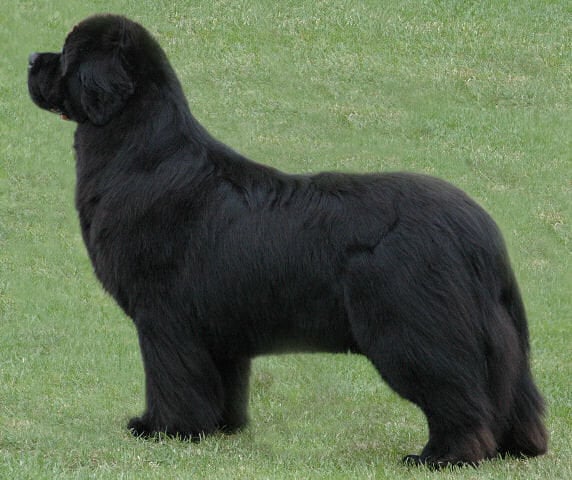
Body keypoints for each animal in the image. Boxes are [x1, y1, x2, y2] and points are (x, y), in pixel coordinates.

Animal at [28, 14, 547, 467]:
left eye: (67, 55)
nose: (32, 56)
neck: (141, 153)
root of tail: (477, 227)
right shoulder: (218, 329)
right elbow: (223, 384)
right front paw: (223, 428)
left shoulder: (163, 317)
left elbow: (170, 378)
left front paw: (163, 430)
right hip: (499, 337)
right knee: (515, 397)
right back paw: (515, 448)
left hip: (413, 330)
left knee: (456, 397)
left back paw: (441, 456)